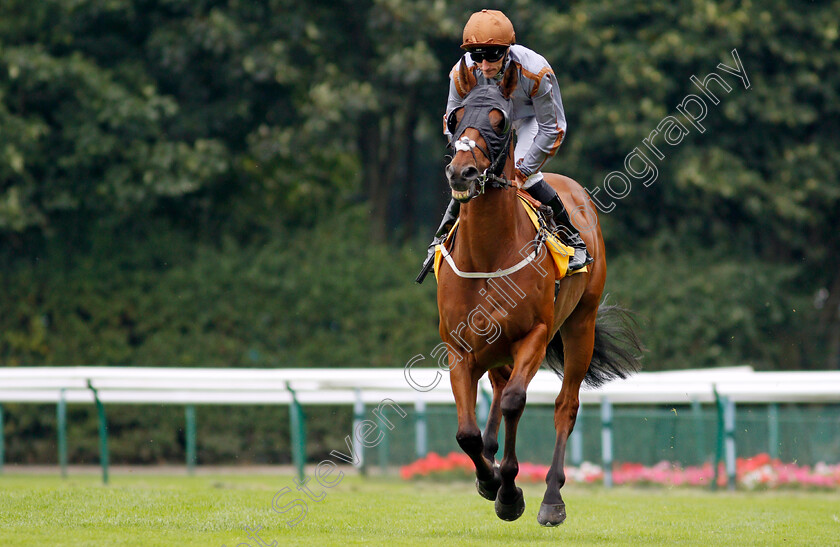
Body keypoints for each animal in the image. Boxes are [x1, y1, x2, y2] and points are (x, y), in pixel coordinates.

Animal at [436, 60, 640, 528]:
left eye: (499, 121)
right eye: (456, 118)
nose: (461, 172)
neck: (488, 255)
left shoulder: (536, 333)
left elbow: (515, 402)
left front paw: (510, 492)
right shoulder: (459, 346)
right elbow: (467, 432)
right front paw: (489, 479)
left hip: (580, 326)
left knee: (565, 406)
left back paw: (551, 497)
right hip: (496, 349)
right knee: (496, 395)